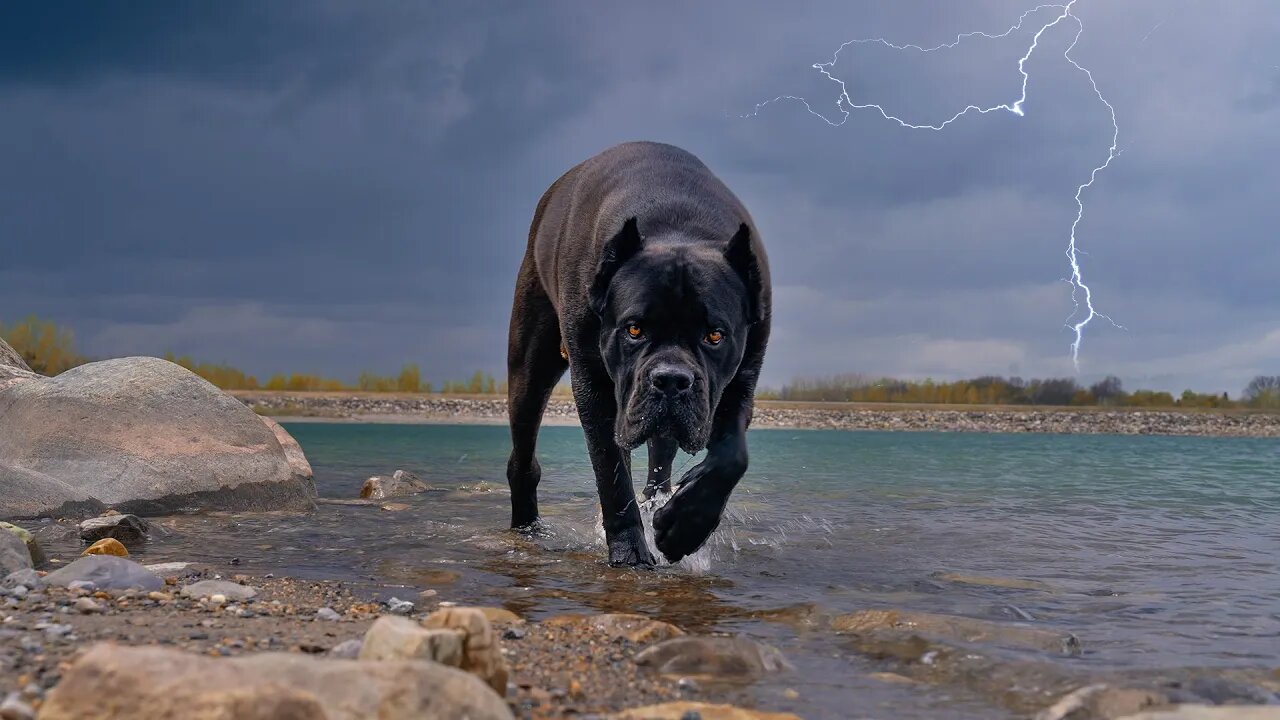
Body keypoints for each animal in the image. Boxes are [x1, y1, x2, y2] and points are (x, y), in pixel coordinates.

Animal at [501, 140, 768, 563]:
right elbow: (611, 475)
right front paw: (631, 554)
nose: (671, 380)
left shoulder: (743, 378)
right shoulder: (593, 387)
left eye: (715, 335)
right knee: (524, 458)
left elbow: (732, 457)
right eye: (634, 329)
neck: (679, 228)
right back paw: (527, 530)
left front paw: (683, 527)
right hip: (531, 366)